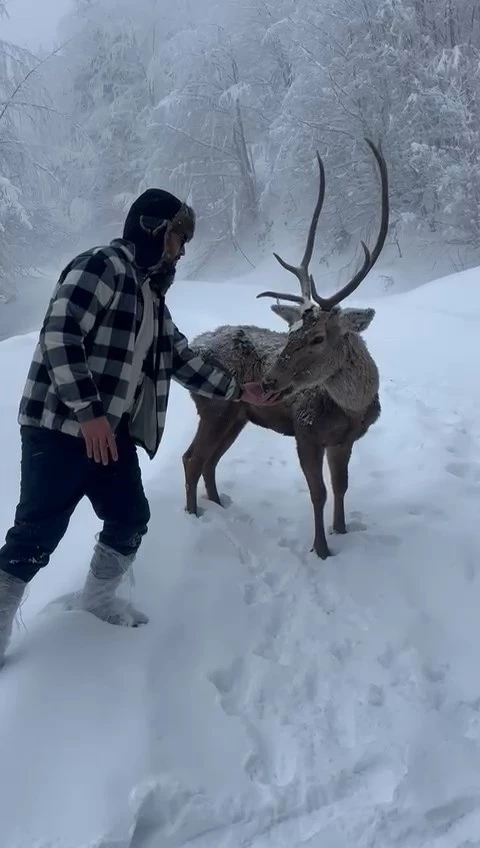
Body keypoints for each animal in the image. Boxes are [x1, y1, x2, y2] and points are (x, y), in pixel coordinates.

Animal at [182, 140, 388, 560]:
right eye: (289, 331)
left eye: (318, 337)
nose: (269, 380)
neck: (353, 407)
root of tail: (194, 343)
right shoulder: (305, 432)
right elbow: (318, 493)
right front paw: (321, 550)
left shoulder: (344, 441)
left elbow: (341, 488)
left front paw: (342, 531)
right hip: (213, 408)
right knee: (193, 458)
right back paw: (195, 517)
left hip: (237, 415)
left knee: (209, 460)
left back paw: (219, 504)